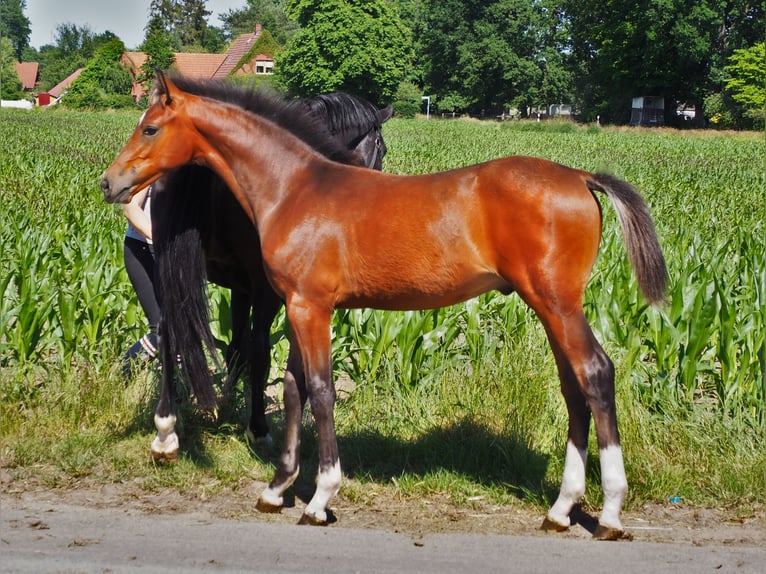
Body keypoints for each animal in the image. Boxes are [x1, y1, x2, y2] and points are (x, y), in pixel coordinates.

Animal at [148, 75, 392, 460]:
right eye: (381, 149)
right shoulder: (269, 289)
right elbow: (257, 349)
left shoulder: (239, 287)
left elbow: (235, 347)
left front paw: (228, 402)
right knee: (260, 346)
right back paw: (260, 429)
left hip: (168, 267)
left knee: (168, 330)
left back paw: (166, 427)